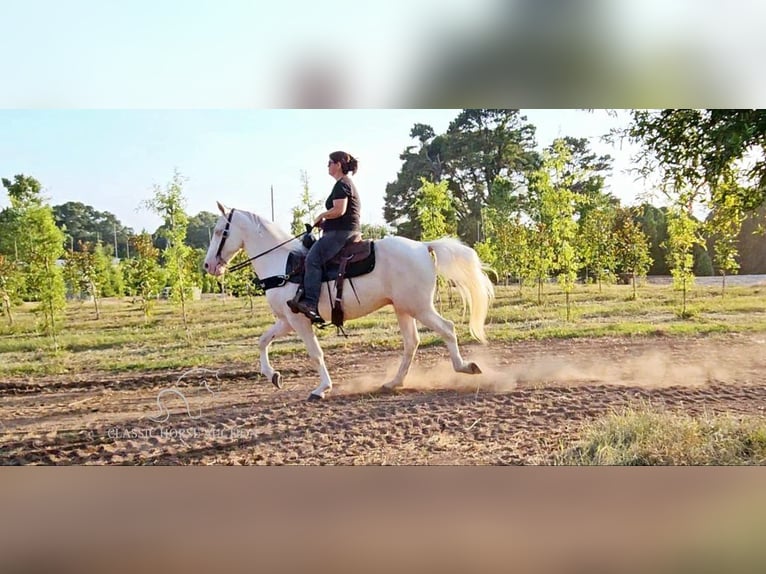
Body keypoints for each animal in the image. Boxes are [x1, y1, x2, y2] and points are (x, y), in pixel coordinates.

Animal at [202, 205, 492, 402]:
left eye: (218, 231)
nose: (208, 266)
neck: (283, 264)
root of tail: (423, 247)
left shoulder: (299, 320)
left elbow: (315, 353)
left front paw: (321, 389)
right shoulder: (287, 321)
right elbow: (262, 341)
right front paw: (273, 375)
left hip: (419, 307)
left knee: (447, 329)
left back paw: (465, 367)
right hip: (403, 309)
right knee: (412, 342)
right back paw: (393, 383)